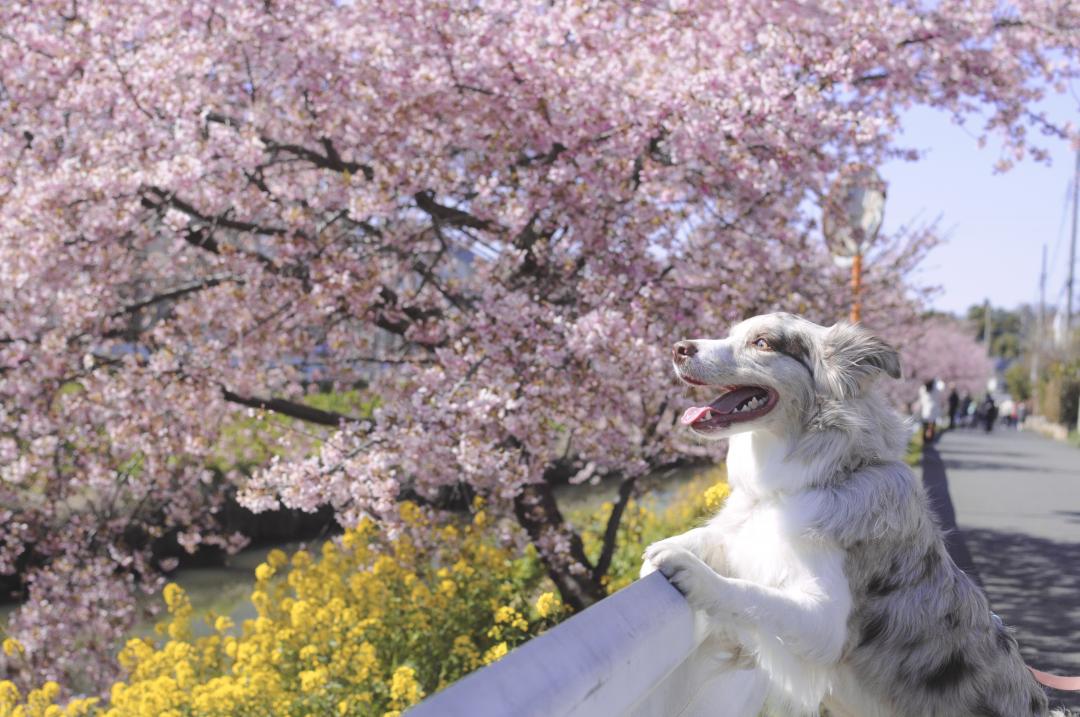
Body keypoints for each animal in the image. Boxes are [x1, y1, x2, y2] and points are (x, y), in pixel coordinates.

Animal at [639, 315, 1062, 717]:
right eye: (729, 333)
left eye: (762, 342)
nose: (679, 347)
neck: (815, 480)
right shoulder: (749, 530)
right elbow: (716, 537)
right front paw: (656, 556)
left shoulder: (826, 623)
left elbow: (753, 594)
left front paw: (693, 572)